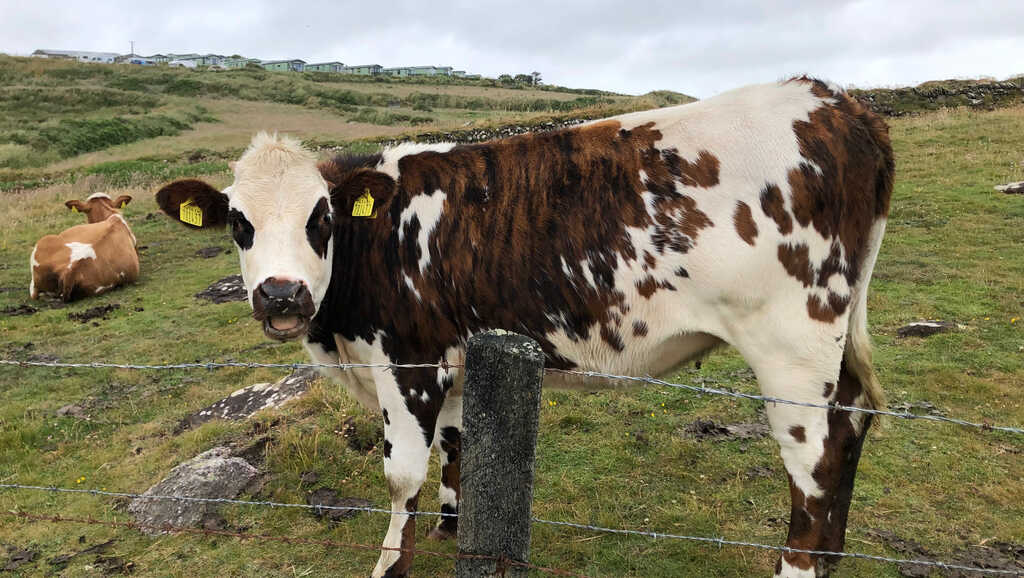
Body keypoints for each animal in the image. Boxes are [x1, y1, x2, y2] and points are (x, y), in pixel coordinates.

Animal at [153, 77, 897, 578]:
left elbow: (401, 473)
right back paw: (830, 558)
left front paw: (392, 563)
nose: (281, 296)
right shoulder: (456, 357)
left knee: (817, 457)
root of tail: (837, 102)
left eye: (322, 217)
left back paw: (799, 565)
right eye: (238, 223)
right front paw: (452, 528)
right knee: (853, 419)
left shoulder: (408, 361)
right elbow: (455, 446)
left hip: (792, 342)